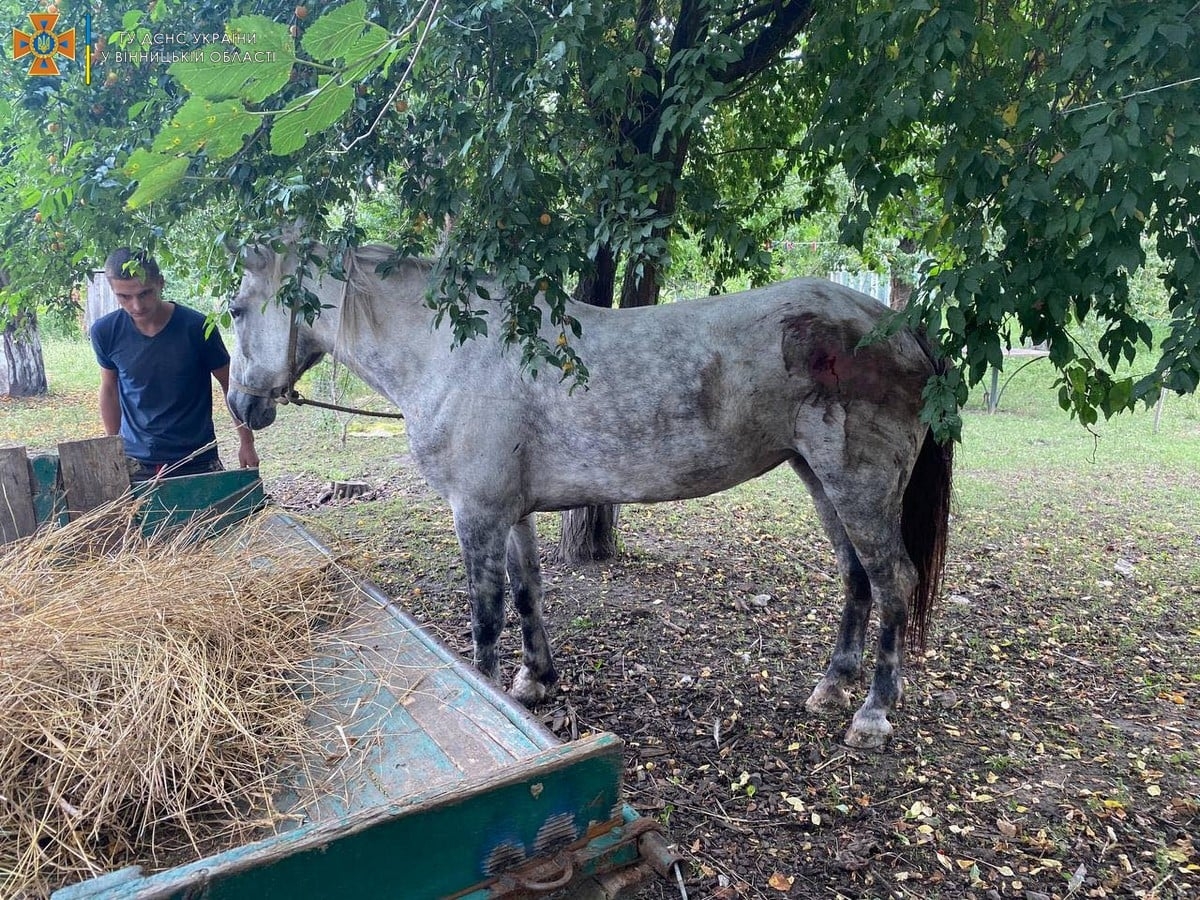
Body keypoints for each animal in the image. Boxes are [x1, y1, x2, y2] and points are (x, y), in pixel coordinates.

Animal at [229, 241, 950, 748]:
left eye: (236, 309)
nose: (240, 405)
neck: (452, 353)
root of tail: (896, 322)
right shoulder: (511, 514)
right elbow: (527, 592)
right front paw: (534, 681)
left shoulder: (477, 514)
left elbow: (486, 617)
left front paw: (490, 694)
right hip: (819, 481)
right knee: (856, 577)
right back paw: (833, 684)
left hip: (858, 488)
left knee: (893, 583)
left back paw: (872, 715)